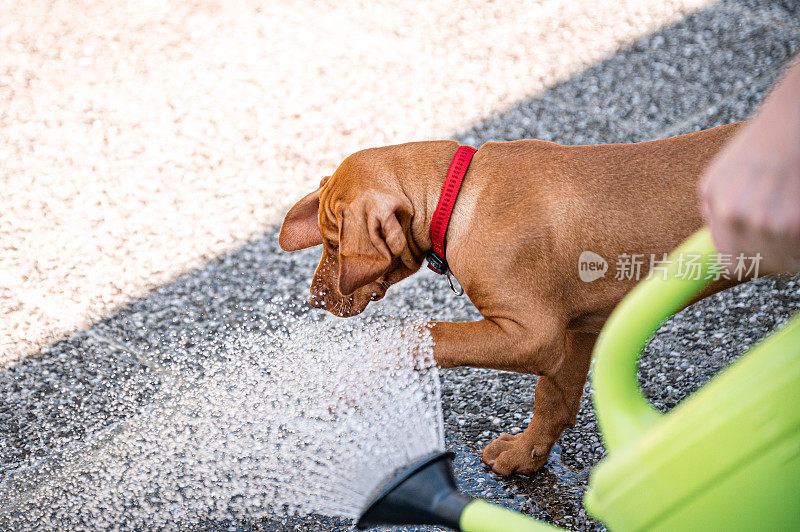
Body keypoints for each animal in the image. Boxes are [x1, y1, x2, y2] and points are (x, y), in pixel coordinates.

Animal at [280, 122, 744, 476]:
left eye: (335, 245)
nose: (314, 300)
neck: (458, 195)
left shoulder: (534, 336)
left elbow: (428, 332)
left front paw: (361, 371)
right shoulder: (578, 328)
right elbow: (554, 398)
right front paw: (526, 455)